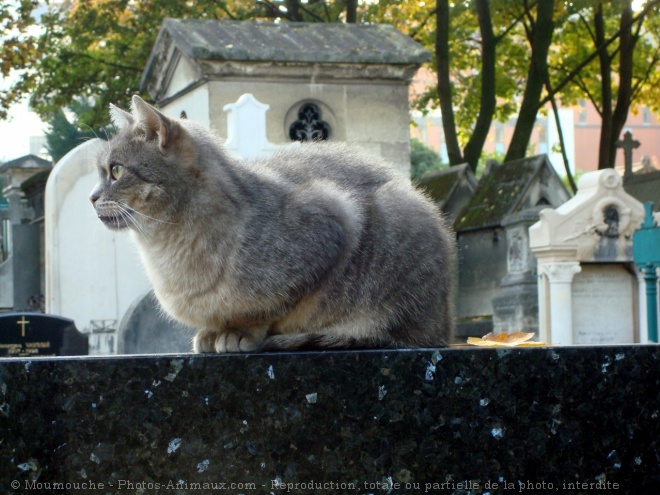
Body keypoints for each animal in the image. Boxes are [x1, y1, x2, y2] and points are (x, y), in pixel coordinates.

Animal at [90, 96, 456, 352]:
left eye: (116, 170)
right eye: (101, 171)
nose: (91, 197)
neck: (166, 249)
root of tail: (443, 327)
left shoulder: (332, 220)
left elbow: (267, 310)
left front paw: (238, 332)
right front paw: (212, 332)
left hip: (397, 214)